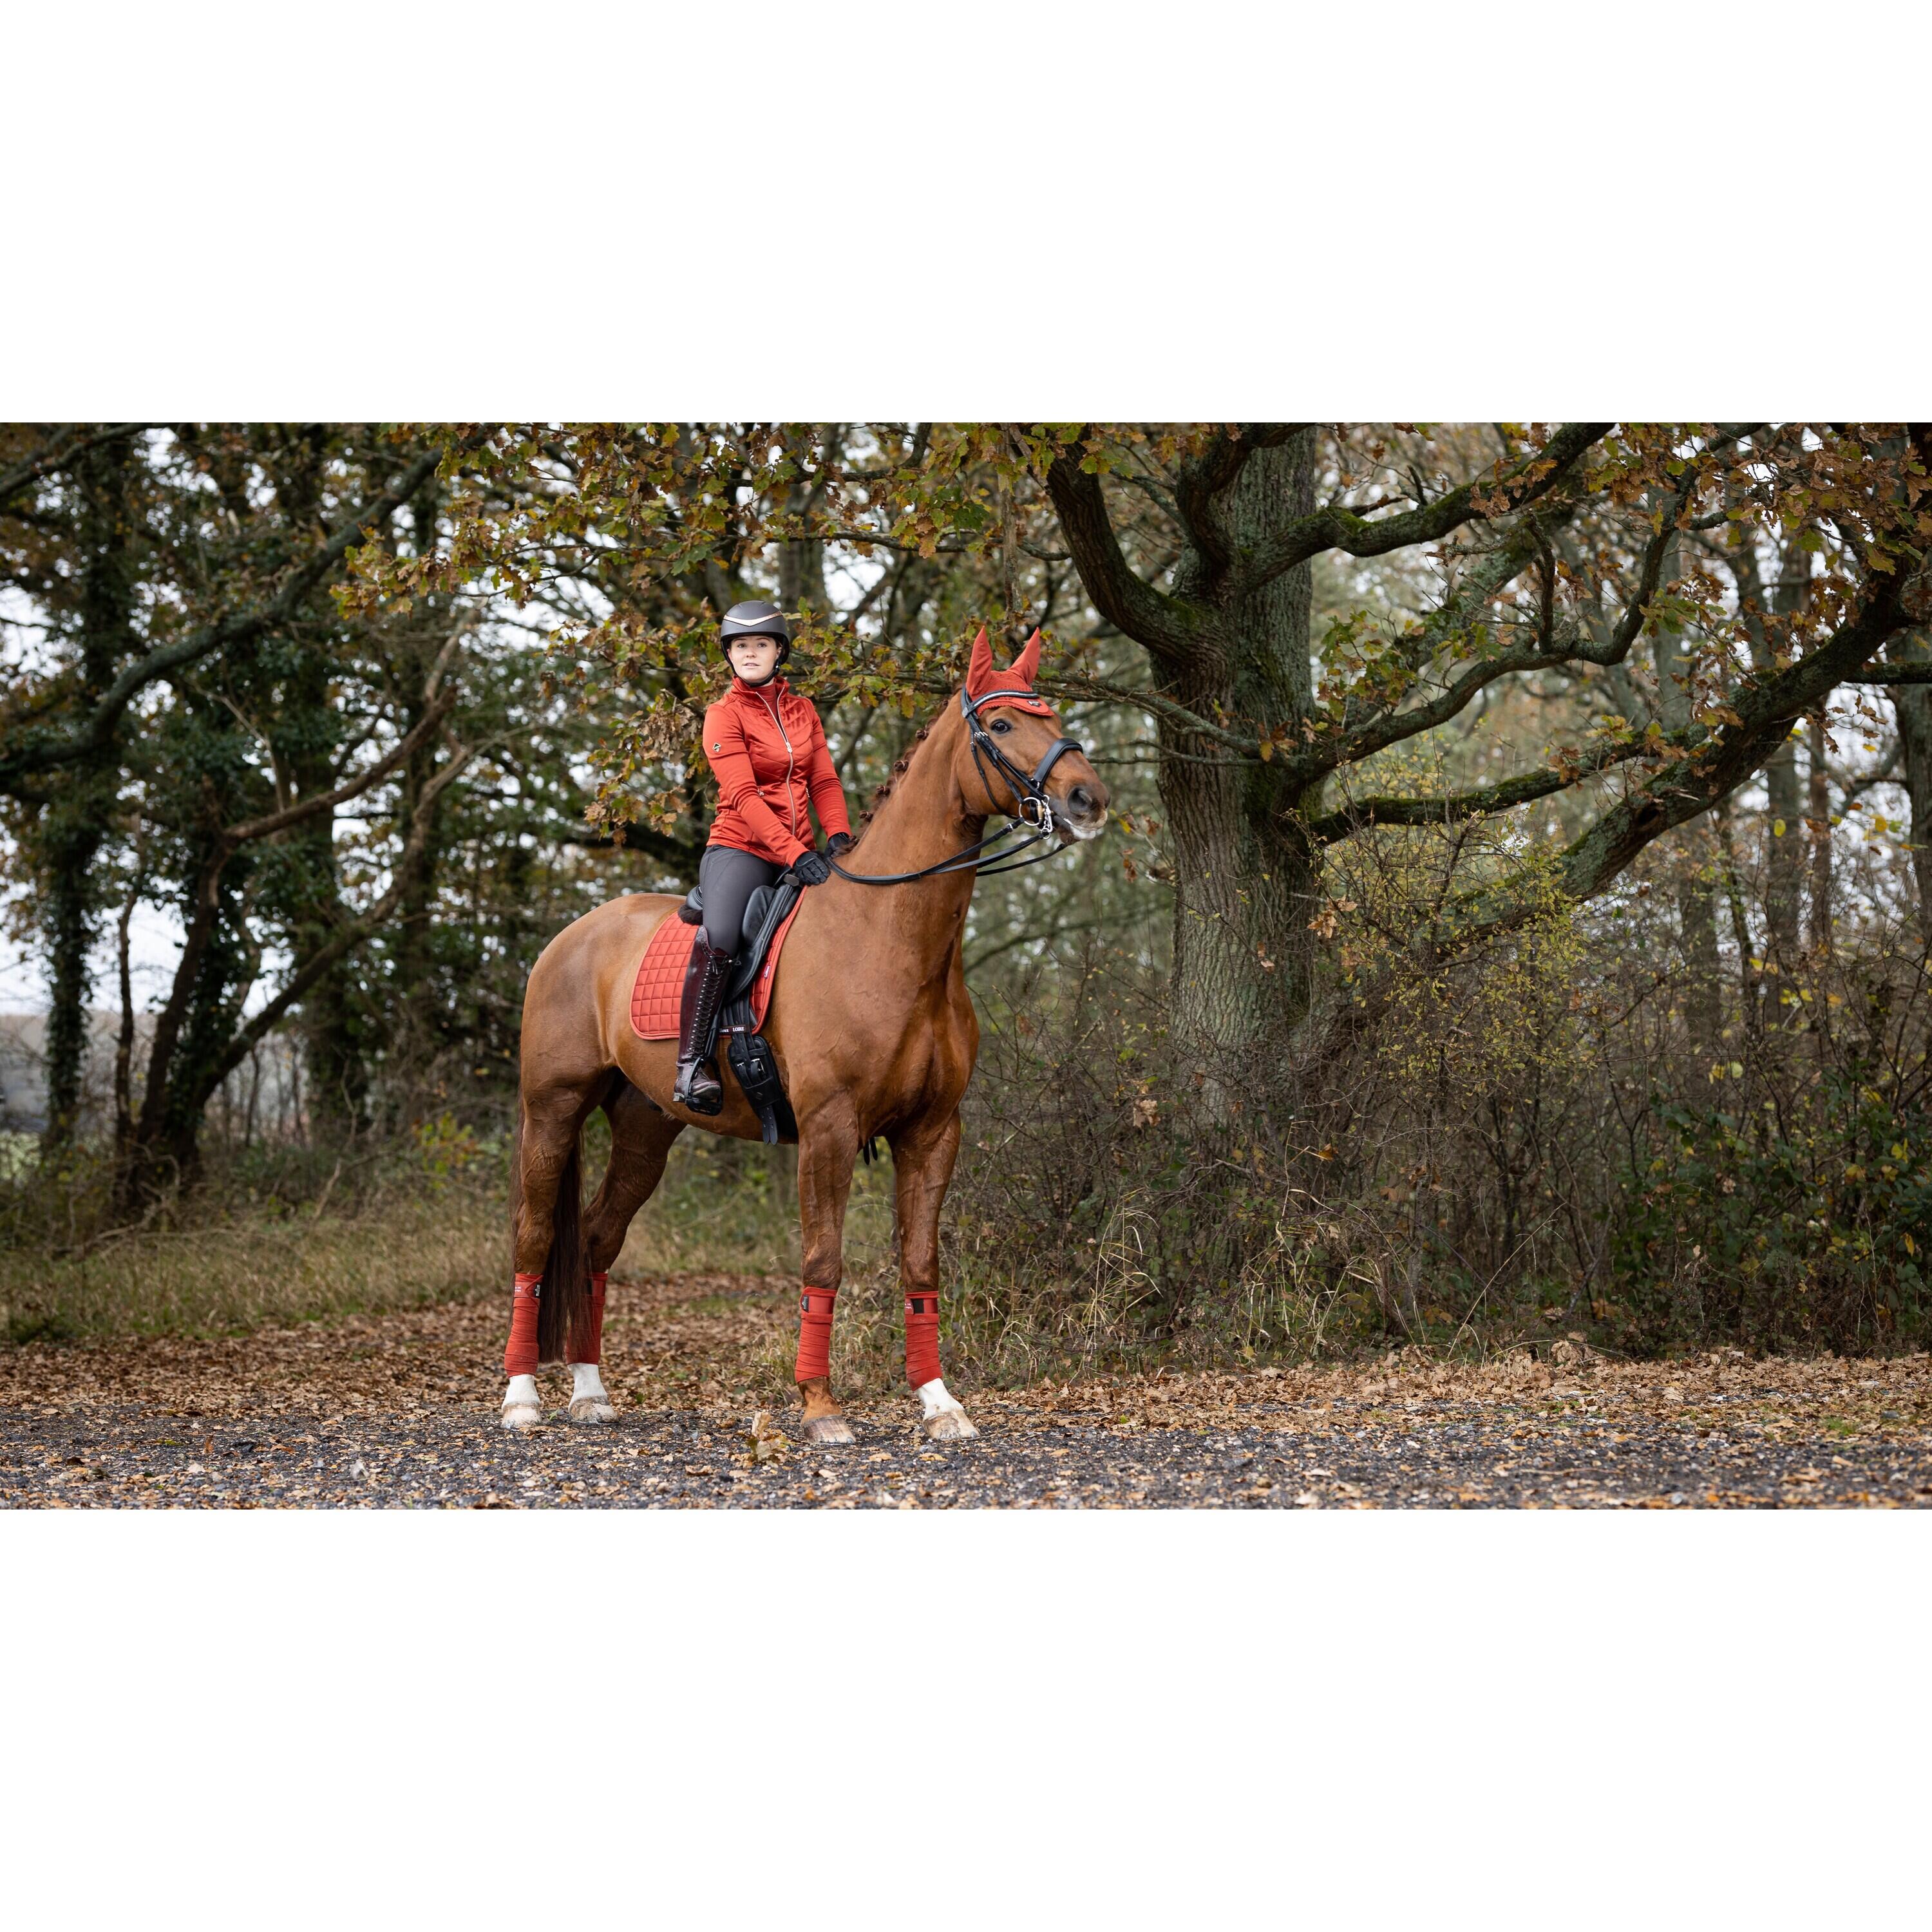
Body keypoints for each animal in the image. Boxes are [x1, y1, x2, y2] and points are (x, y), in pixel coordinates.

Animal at [498, 628, 1110, 1443]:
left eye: (1055, 714)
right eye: (1004, 723)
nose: (1087, 800)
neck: (890, 936)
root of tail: (571, 938)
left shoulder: (933, 1131)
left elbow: (921, 1266)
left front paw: (940, 1402)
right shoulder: (828, 1128)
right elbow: (823, 1263)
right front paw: (821, 1407)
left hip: (645, 1127)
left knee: (597, 1237)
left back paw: (591, 1392)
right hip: (552, 1110)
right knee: (534, 1238)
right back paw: (522, 1397)